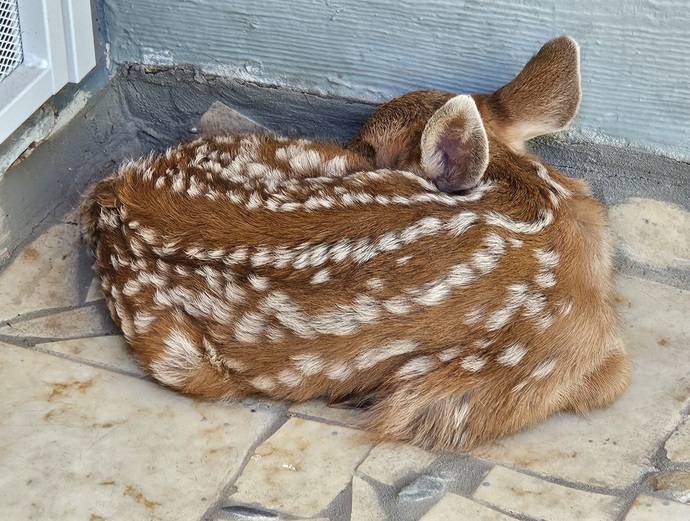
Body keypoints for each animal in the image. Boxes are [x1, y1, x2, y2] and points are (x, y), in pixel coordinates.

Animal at [82, 36, 631, 451]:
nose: (352, 148)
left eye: (370, 144)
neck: (536, 202)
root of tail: (113, 196)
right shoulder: (493, 385)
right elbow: (616, 376)